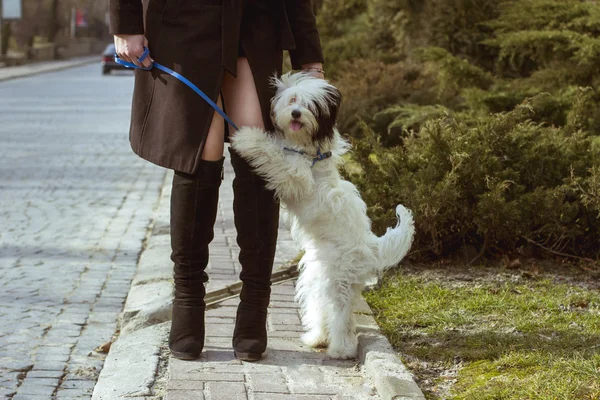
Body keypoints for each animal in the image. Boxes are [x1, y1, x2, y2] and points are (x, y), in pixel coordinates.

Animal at [229, 72, 412, 360]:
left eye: (311, 106)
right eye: (293, 100)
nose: (296, 113)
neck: (307, 150)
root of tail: (370, 247)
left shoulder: (295, 175)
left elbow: (272, 154)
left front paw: (247, 138)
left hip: (339, 281)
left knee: (341, 314)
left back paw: (341, 349)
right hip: (319, 278)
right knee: (324, 308)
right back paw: (317, 338)